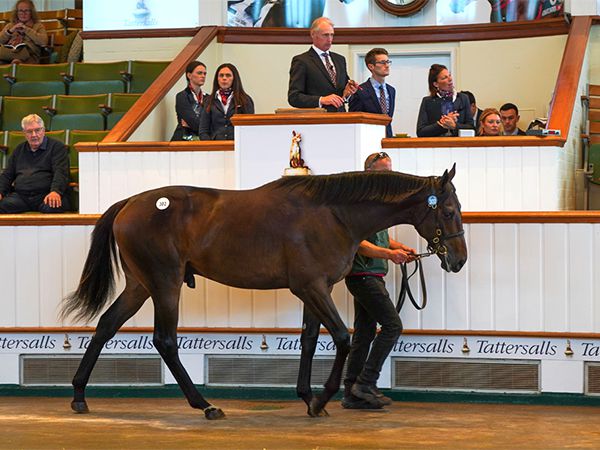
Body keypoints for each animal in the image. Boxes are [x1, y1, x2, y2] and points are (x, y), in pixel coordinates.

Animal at [62, 167, 464, 420]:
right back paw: (204, 405)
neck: (333, 215)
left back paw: (79, 395)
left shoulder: (316, 288)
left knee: (106, 325)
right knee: (164, 340)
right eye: (447, 211)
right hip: (164, 284)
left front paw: (307, 397)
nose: (458, 260)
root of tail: (129, 204)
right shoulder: (312, 287)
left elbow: (309, 339)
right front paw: (321, 398)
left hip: (139, 285)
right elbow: (342, 338)